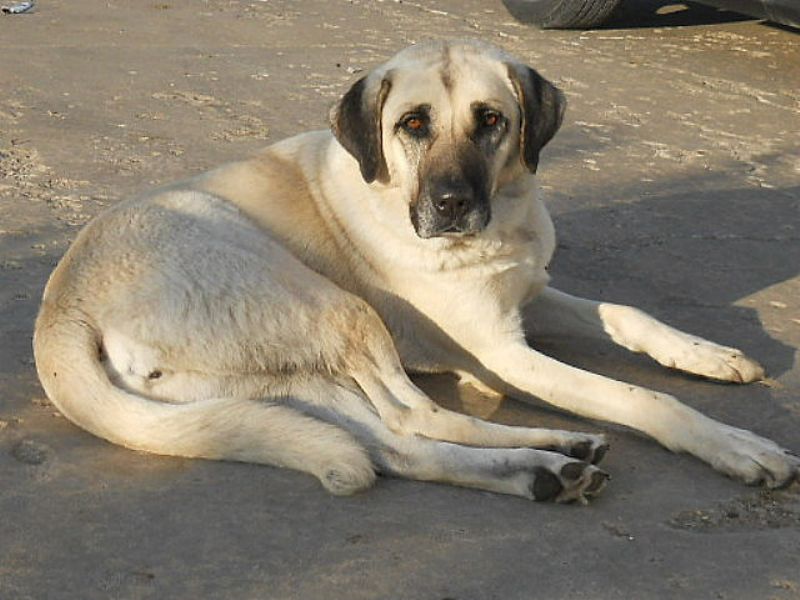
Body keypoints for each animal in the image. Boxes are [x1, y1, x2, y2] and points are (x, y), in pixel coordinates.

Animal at [34, 38, 796, 502]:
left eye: (491, 120)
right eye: (413, 124)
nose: (452, 204)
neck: (502, 220)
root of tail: (61, 310)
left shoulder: (531, 293)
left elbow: (629, 314)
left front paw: (709, 354)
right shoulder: (502, 353)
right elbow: (642, 398)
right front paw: (735, 445)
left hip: (281, 379)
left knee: (396, 444)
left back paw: (549, 463)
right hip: (333, 307)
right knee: (415, 416)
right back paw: (554, 455)